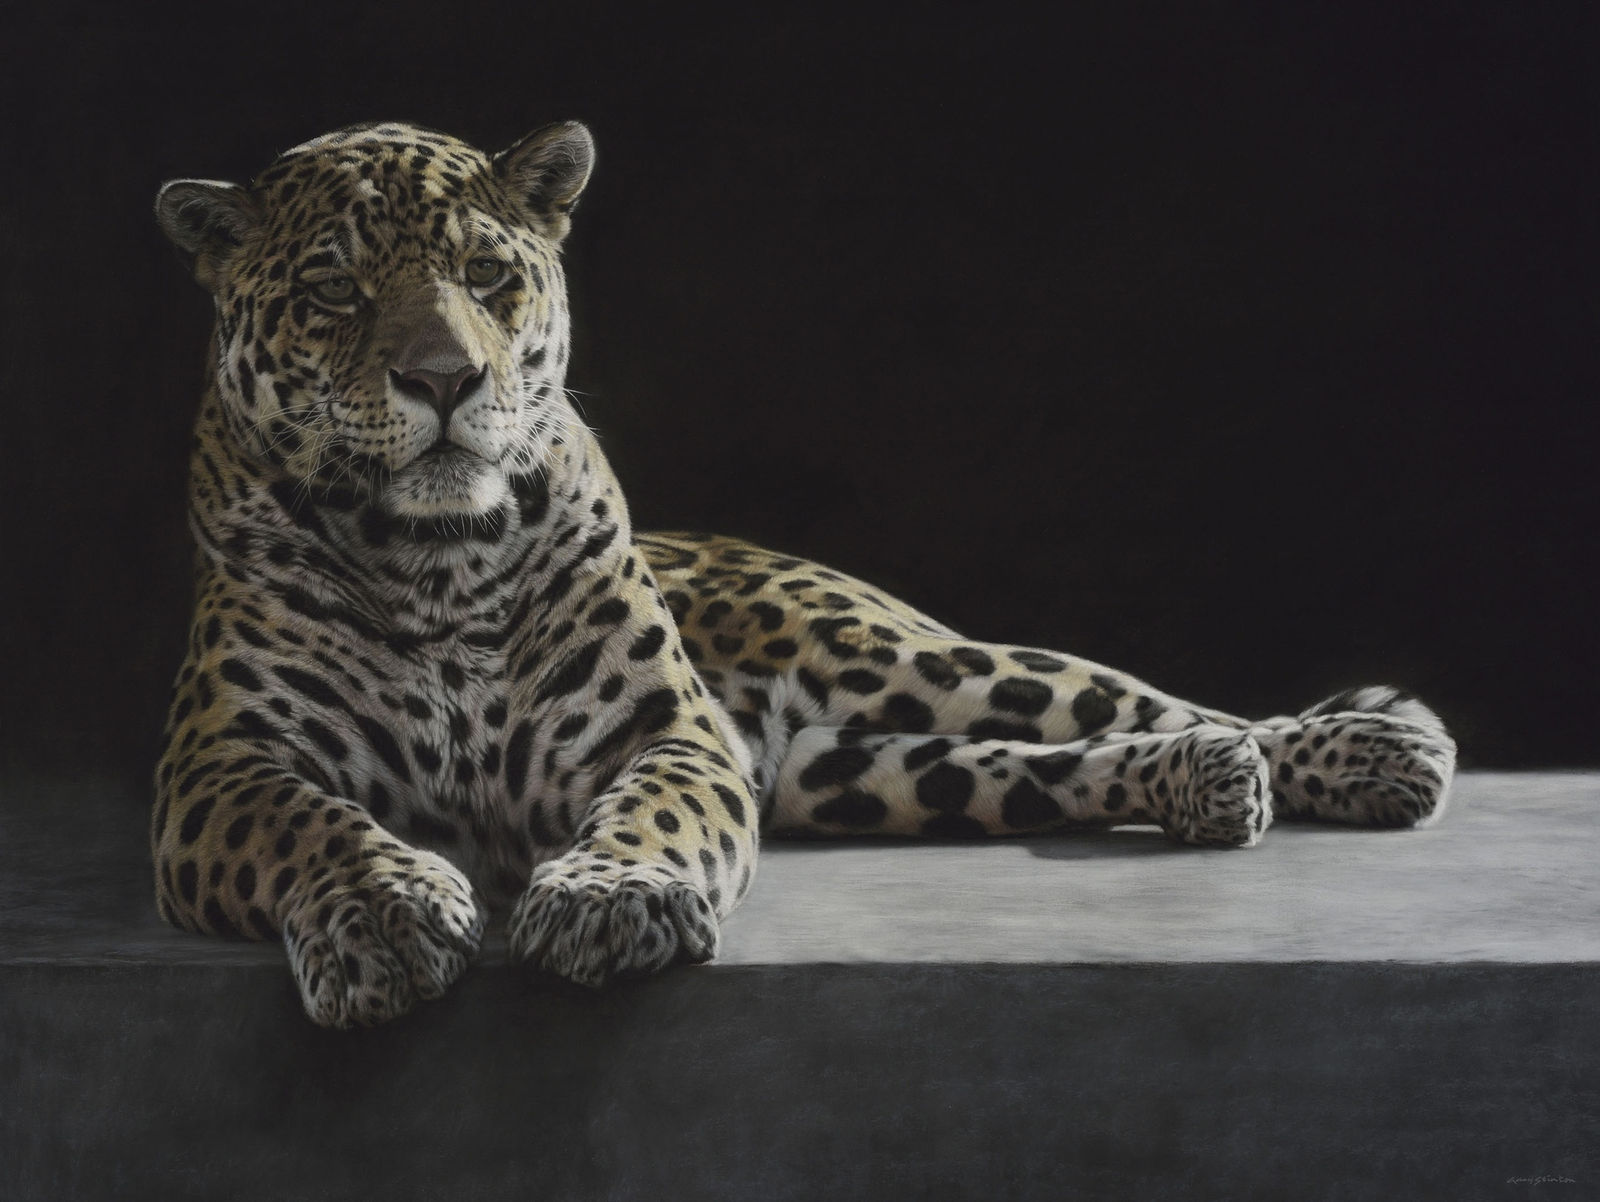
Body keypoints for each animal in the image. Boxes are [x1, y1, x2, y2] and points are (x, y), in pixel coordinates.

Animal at [151, 120, 1457, 1029]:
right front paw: (385, 916)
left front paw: (611, 899)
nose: (444, 379)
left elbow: (653, 813)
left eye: (486, 276)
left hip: (895, 653)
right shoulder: (221, 771)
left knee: (1130, 697)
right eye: (334, 291)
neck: (440, 560)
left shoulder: (669, 735)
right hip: (846, 773)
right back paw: (1209, 782)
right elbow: (320, 824)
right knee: (1030, 767)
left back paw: (1371, 750)